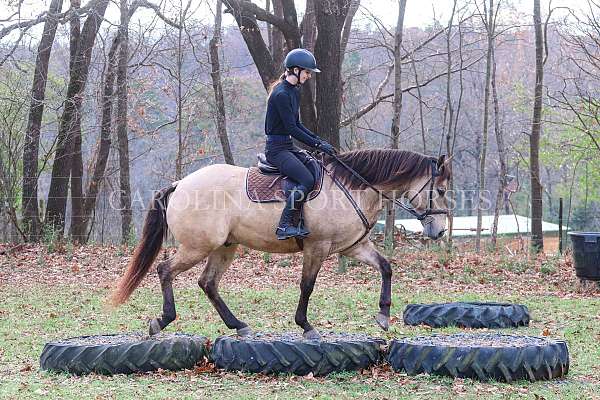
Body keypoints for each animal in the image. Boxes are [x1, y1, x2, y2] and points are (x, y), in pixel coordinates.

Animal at [111, 148, 450, 340]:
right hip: (198, 246)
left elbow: (385, 267)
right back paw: (162, 320)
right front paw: (306, 326)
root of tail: (181, 183)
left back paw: (238, 325)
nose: (439, 231)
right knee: (165, 270)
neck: (352, 185)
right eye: (442, 190)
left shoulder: (352, 247)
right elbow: (307, 286)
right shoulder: (317, 247)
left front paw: (382, 316)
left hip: (224, 247)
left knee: (208, 283)